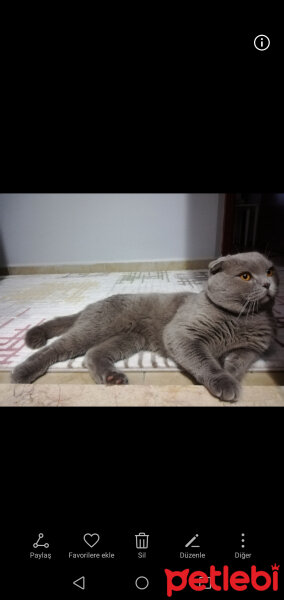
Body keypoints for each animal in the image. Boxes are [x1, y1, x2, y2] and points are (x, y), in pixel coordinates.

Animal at [10, 251, 278, 400]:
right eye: (245, 276)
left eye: (270, 271)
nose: (267, 284)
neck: (241, 319)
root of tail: (92, 304)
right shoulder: (182, 333)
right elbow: (204, 360)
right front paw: (223, 382)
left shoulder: (250, 349)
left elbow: (236, 364)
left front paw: (229, 376)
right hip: (97, 328)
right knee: (56, 349)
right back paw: (21, 373)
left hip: (128, 339)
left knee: (92, 354)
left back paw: (112, 378)